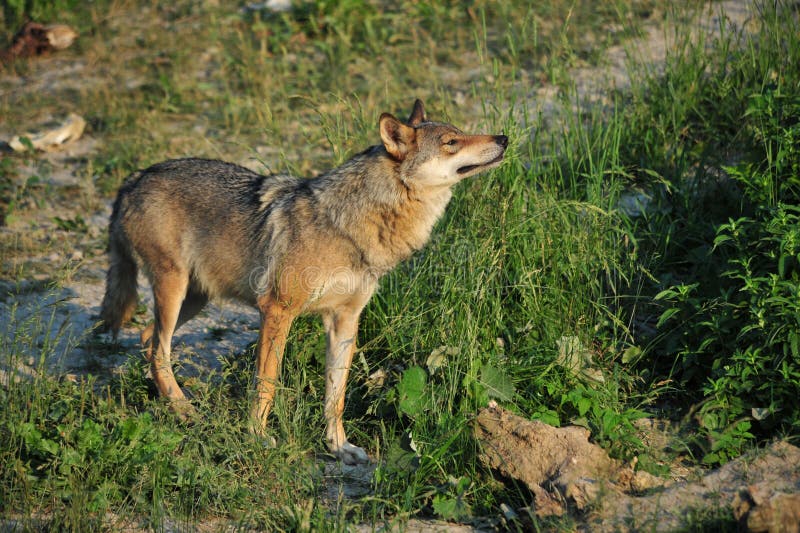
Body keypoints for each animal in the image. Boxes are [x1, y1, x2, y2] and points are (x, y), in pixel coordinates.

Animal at [100, 99, 507, 464]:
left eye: (460, 133)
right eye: (451, 141)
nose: (503, 137)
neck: (352, 225)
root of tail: (135, 177)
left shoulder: (345, 321)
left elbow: (335, 397)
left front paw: (339, 447)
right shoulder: (277, 310)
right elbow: (266, 384)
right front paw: (257, 437)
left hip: (195, 298)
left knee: (149, 340)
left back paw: (168, 400)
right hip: (175, 289)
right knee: (158, 347)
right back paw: (184, 410)